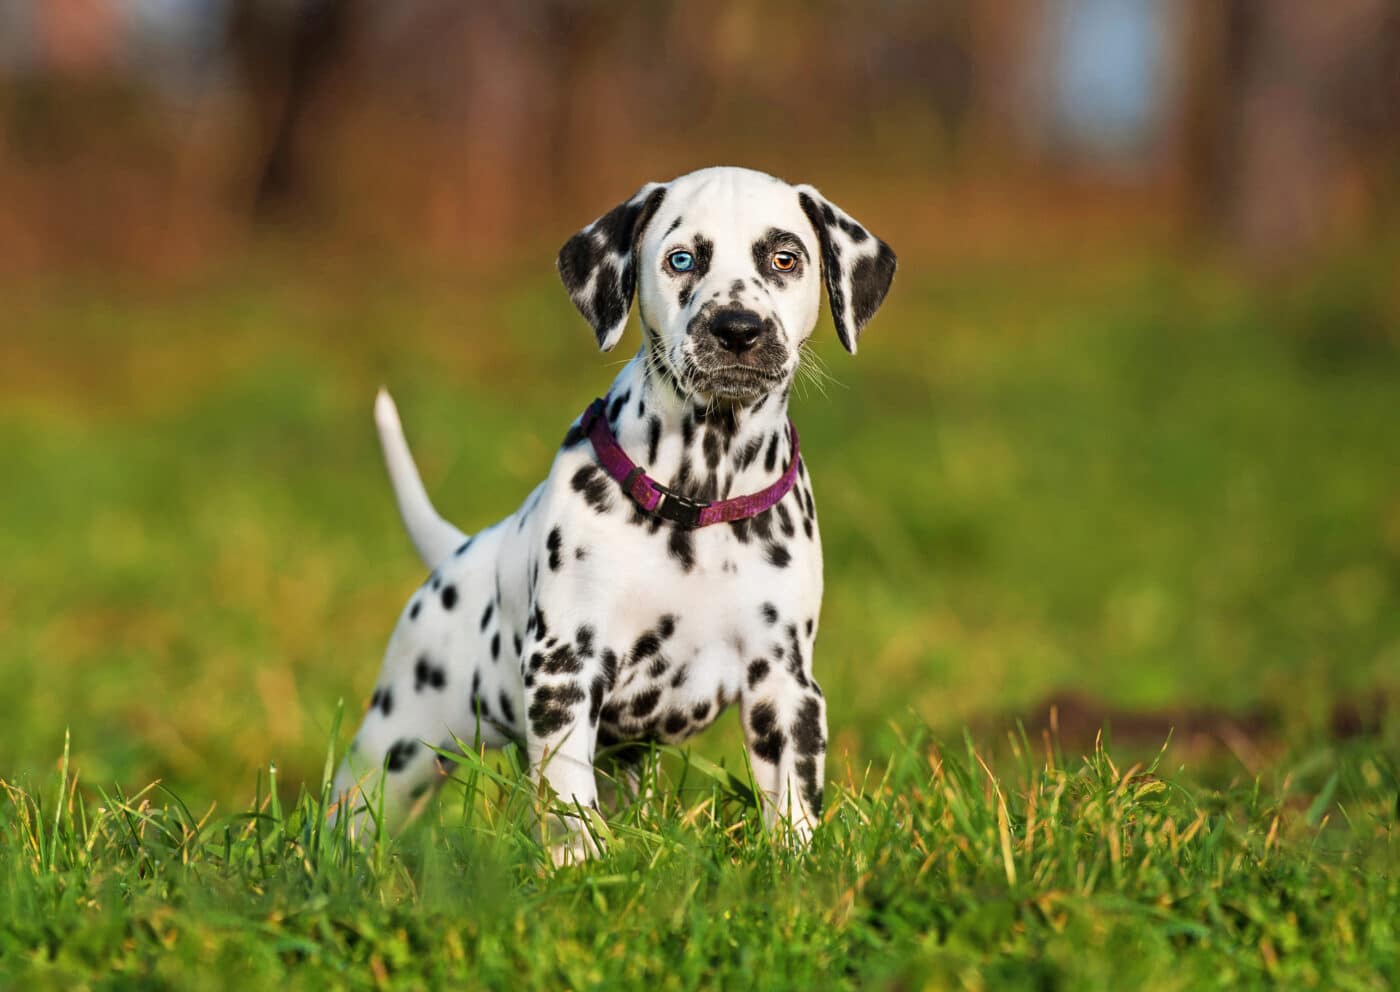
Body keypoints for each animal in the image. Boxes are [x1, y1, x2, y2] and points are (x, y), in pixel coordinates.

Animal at [333, 166, 890, 856]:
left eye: (785, 258)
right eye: (682, 259)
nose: (738, 329)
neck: (701, 496)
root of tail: (459, 553)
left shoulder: (784, 682)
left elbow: (791, 794)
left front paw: (797, 858)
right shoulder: (565, 670)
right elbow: (566, 796)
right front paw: (577, 861)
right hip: (395, 748)